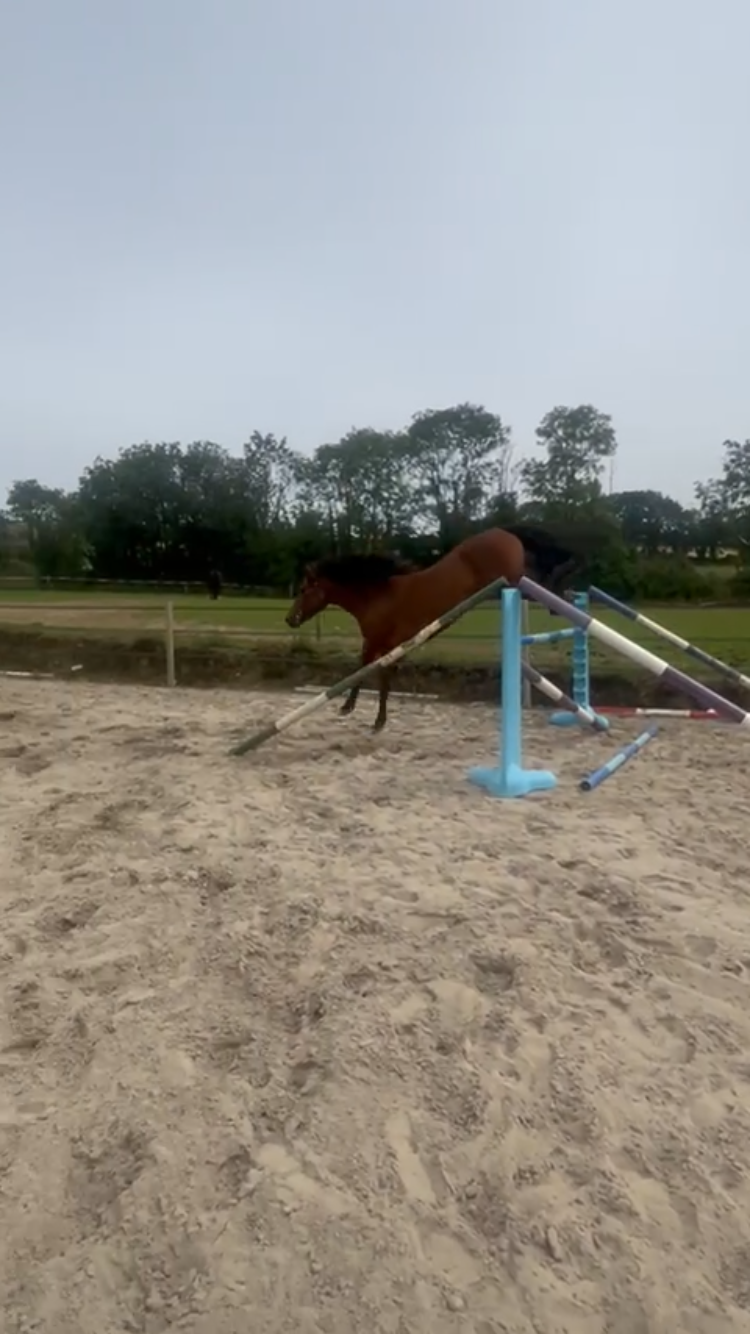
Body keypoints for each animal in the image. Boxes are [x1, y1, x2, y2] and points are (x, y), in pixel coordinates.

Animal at [285, 525, 577, 731]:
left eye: (304, 589)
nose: (290, 619)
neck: (377, 595)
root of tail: (504, 533)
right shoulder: (389, 646)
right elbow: (379, 677)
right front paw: (377, 719)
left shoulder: (376, 642)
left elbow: (363, 671)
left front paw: (351, 709)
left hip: (513, 580)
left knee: (541, 581)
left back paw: (564, 585)